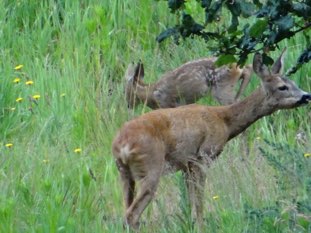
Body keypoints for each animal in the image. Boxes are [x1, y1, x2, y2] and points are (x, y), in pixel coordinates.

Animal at [125, 58, 254, 109]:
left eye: (126, 91)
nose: (128, 105)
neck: (151, 92)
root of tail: (235, 65)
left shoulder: (167, 105)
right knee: (248, 68)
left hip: (222, 89)